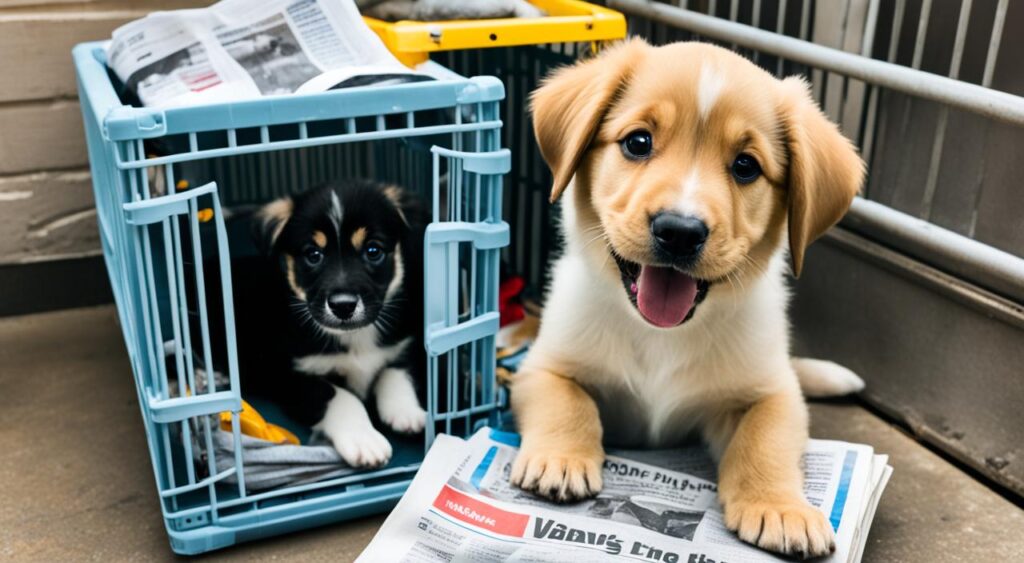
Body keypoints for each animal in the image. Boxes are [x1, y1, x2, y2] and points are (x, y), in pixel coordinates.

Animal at [509, 40, 864, 560]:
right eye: (638, 142)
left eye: (745, 166)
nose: (679, 231)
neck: (661, 333)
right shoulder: (542, 365)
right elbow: (567, 401)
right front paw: (560, 457)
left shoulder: (773, 390)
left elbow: (767, 439)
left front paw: (780, 508)